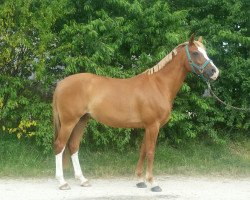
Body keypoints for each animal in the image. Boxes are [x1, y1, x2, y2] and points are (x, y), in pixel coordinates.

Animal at [52, 35, 219, 191]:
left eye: (205, 51)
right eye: (196, 53)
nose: (214, 72)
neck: (158, 85)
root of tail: (61, 84)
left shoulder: (148, 127)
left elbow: (143, 151)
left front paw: (140, 180)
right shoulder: (153, 126)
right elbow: (150, 152)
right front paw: (152, 182)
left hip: (82, 120)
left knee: (73, 146)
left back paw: (82, 180)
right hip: (69, 122)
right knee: (60, 145)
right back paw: (62, 182)